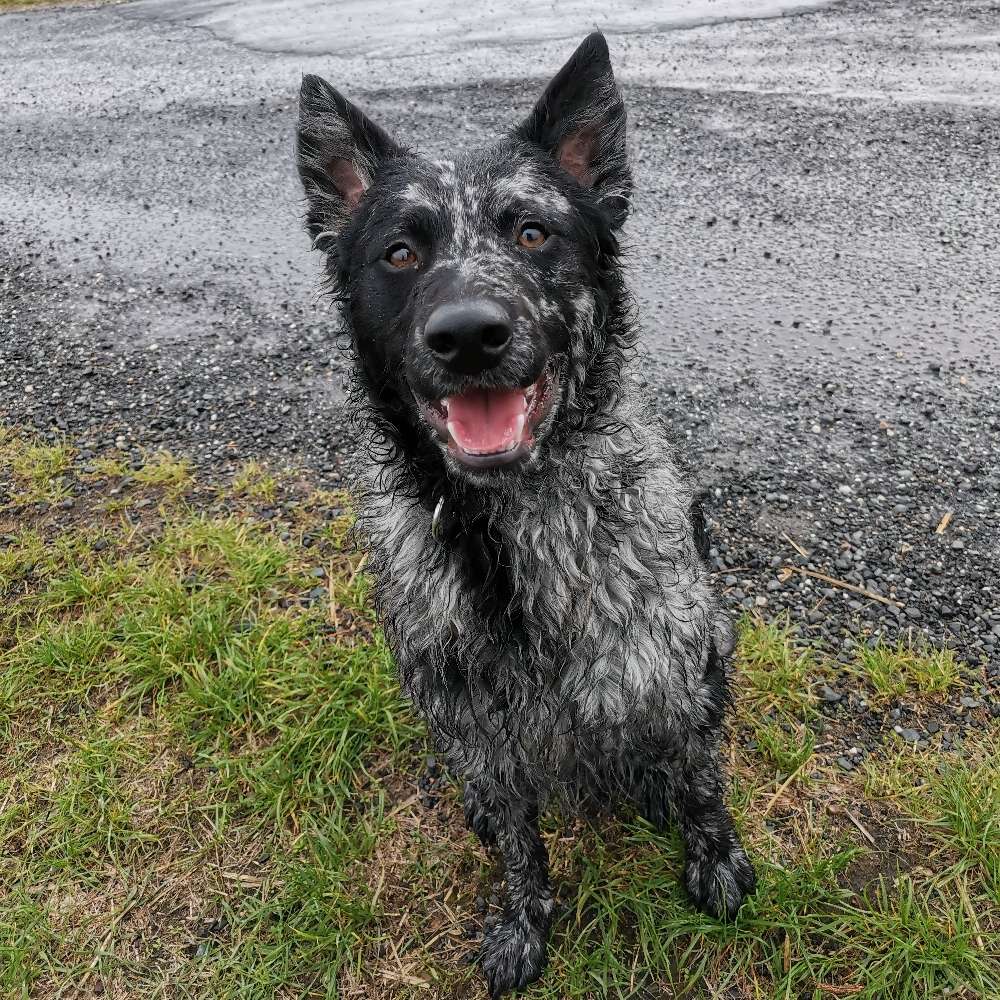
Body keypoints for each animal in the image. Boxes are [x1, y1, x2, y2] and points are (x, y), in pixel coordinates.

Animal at [296, 29, 756, 992]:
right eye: (400, 252)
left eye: (532, 231)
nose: (469, 335)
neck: (506, 546)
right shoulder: (476, 730)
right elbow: (519, 845)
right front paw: (524, 921)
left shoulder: (672, 677)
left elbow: (701, 780)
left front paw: (716, 862)